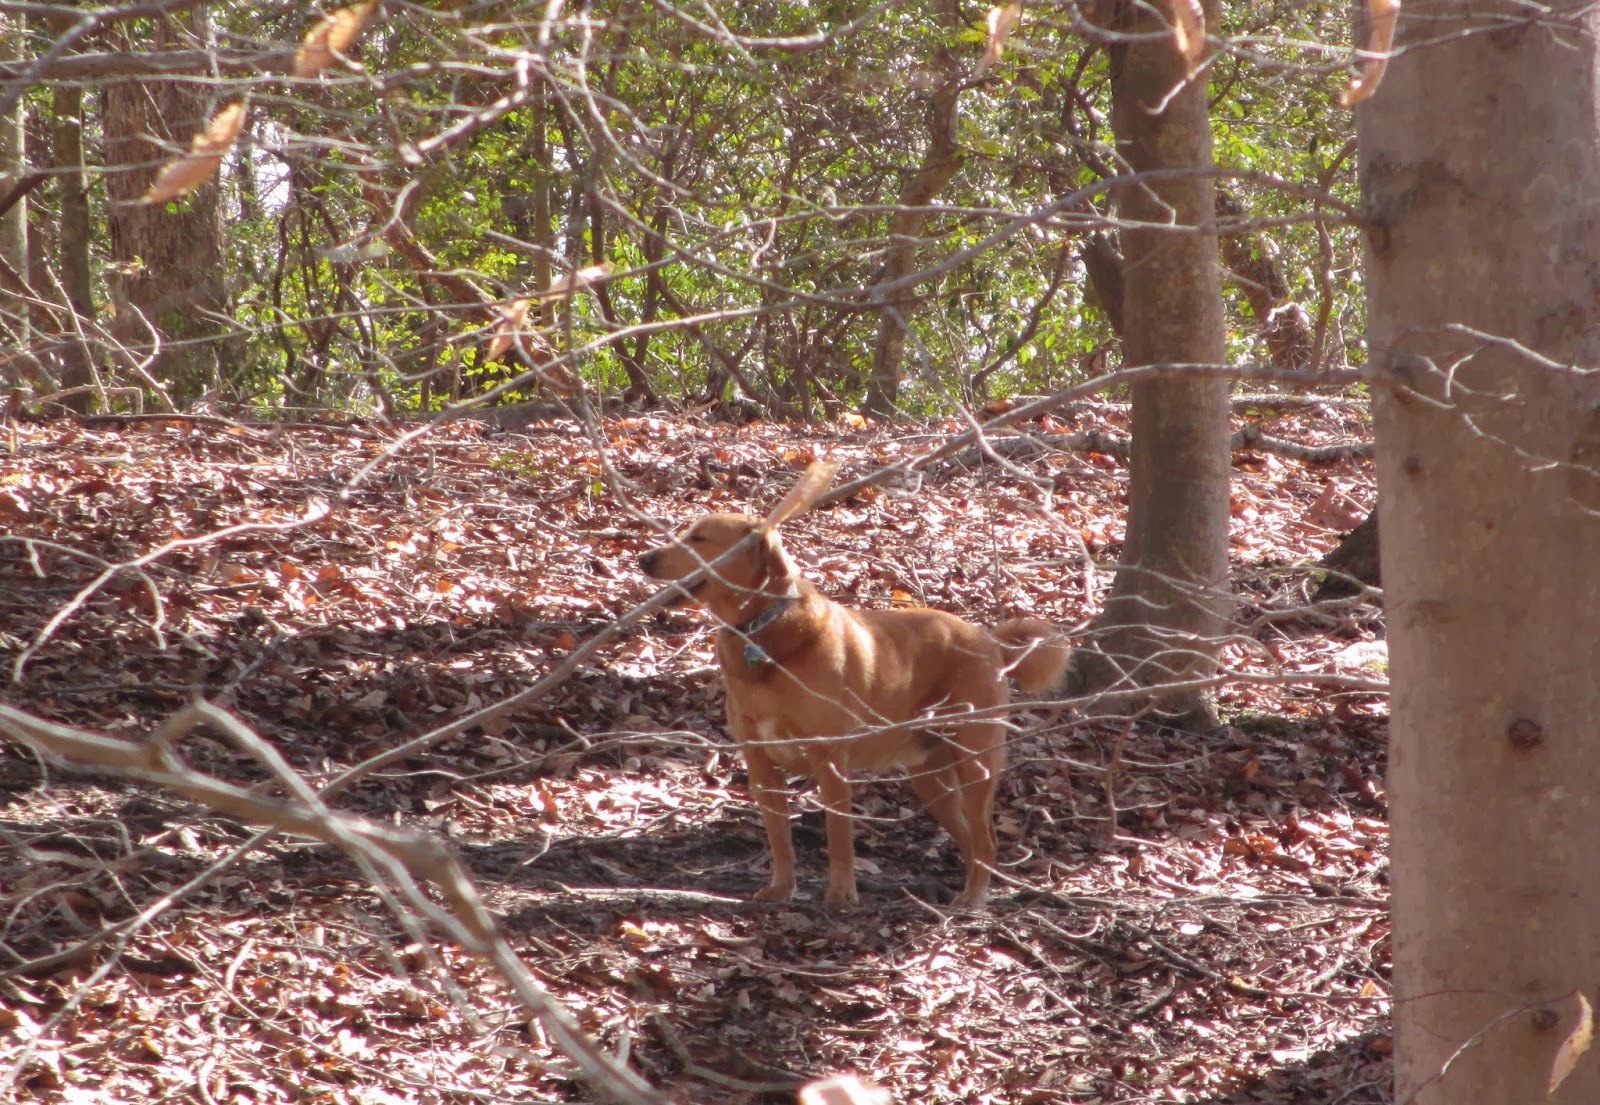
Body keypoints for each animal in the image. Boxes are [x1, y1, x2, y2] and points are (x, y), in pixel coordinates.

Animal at [639, 511, 1069, 908]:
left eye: (699, 538)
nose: (644, 558)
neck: (762, 632)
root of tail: (991, 641)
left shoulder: (830, 761)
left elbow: (838, 836)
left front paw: (842, 894)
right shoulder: (761, 764)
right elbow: (780, 838)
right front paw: (782, 889)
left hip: (975, 763)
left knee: (987, 839)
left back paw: (974, 899)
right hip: (931, 780)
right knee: (971, 839)